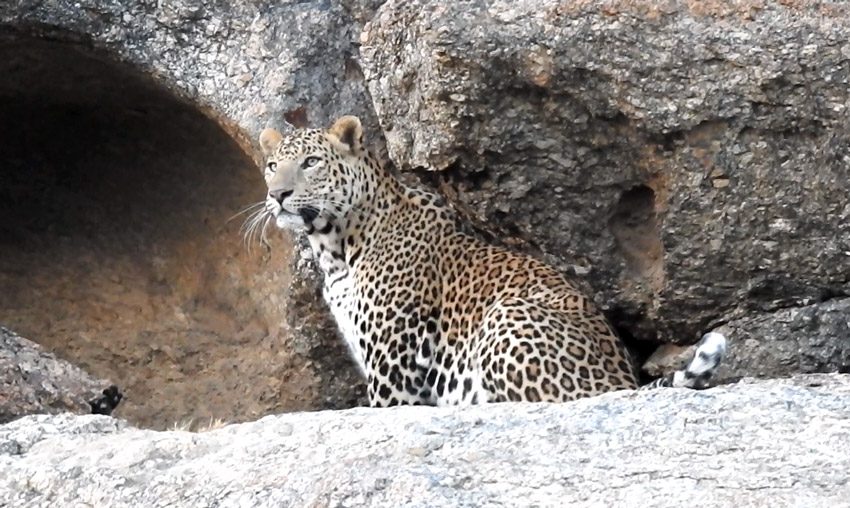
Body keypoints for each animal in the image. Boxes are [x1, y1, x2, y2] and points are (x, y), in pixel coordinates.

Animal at [245, 116, 724, 408]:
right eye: (271, 165)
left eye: (311, 162)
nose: (278, 194)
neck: (335, 248)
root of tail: (622, 384)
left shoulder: (393, 366)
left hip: (505, 316)